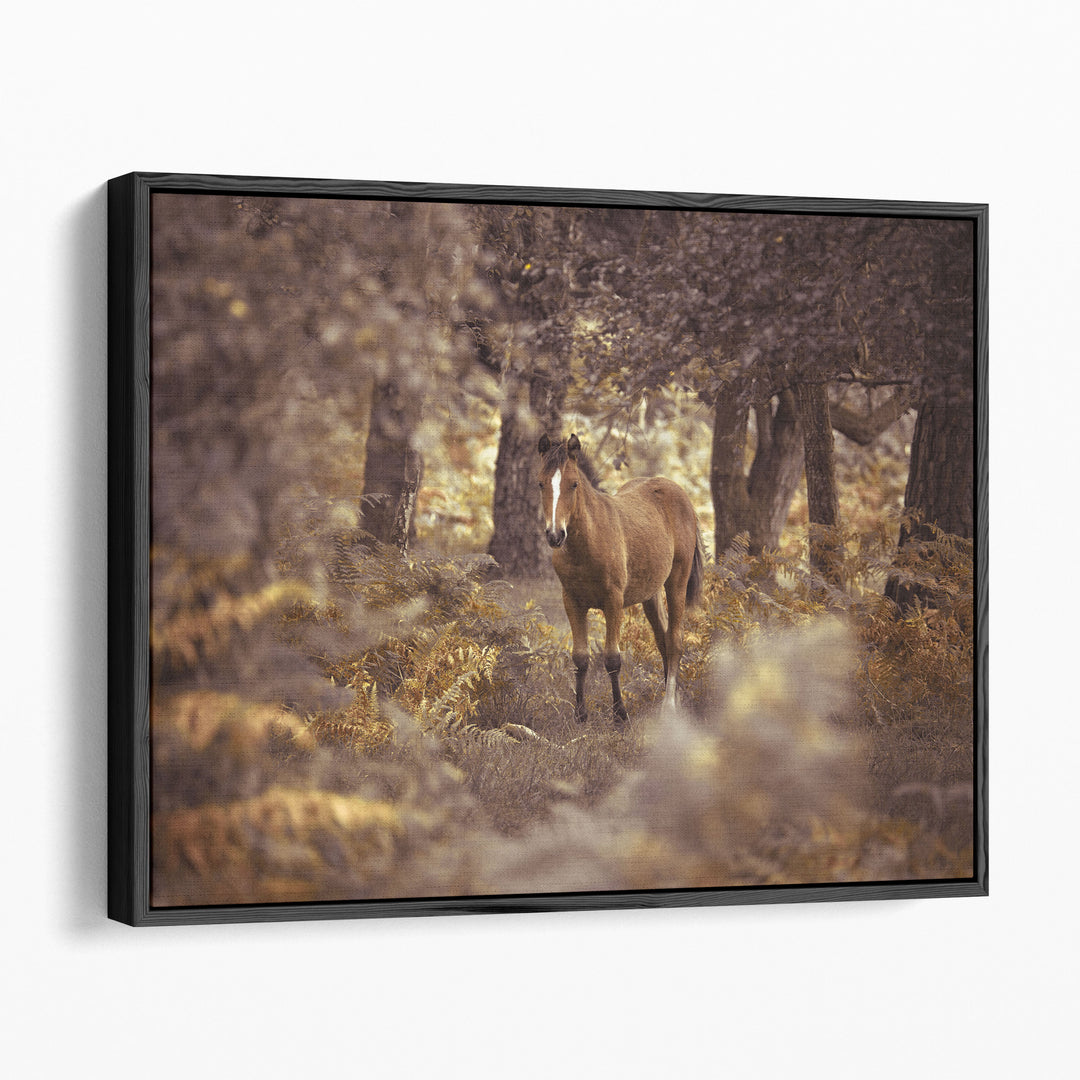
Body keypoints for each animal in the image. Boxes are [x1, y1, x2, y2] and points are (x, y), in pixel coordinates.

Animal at [536, 433, 703, 724]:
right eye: (541, 483)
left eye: (574, 484)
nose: (555, 535)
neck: (588, 542)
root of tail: (679, 494)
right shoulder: (572, 602)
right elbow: (580, 658)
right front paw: (580, 715)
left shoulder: (613, 602)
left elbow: (612, 659)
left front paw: (620, 715)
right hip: (650, 594)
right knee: (662, 640)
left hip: (677, 582)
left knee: (674, 641)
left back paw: (669, 706)